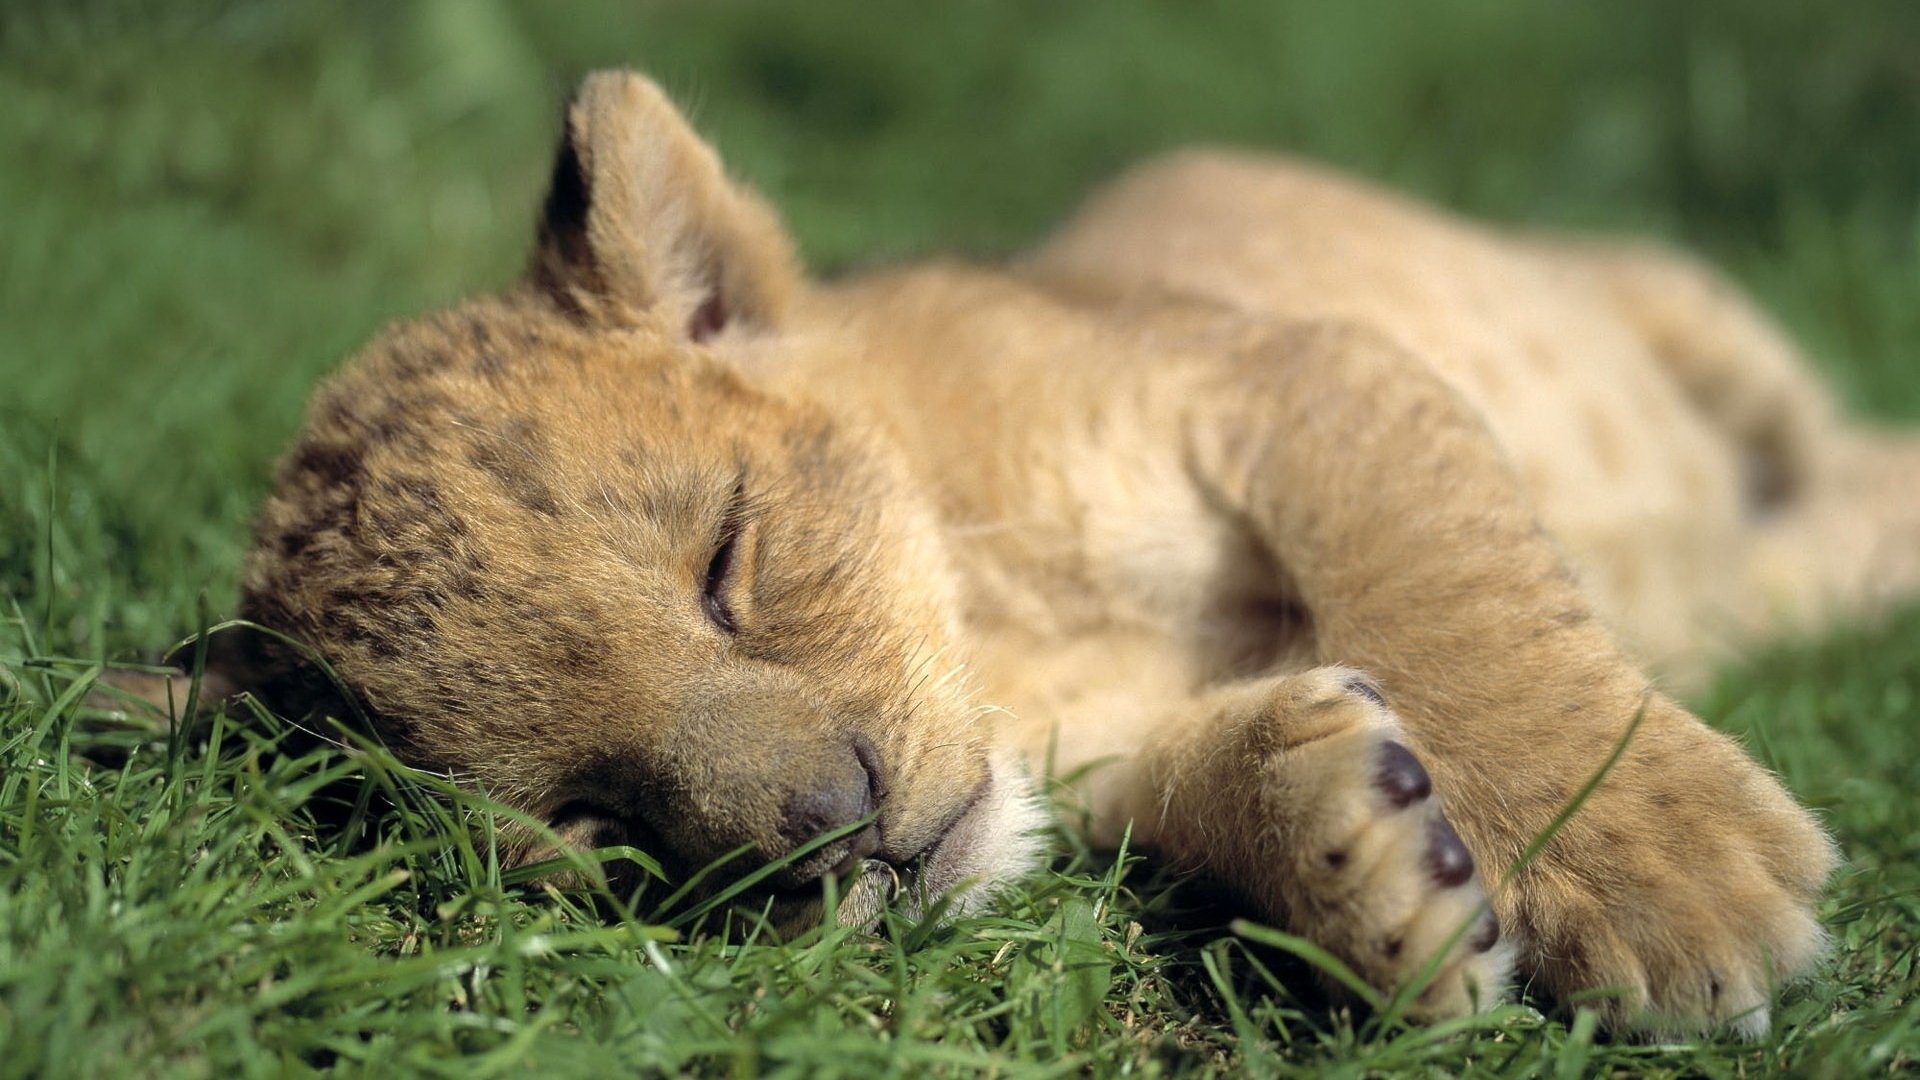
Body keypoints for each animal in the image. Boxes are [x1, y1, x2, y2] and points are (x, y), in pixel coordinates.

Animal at [217, 71, 1920, 1037]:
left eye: (726, 563)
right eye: (588, 815)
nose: (835, 836)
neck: (1008, 640)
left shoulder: (1293, 372)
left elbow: (1456, 602)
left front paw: (1662, 884)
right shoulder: (1104, 765)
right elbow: (1215, 775)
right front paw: (1366, 862)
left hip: (1685, 312)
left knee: (1838, 448)